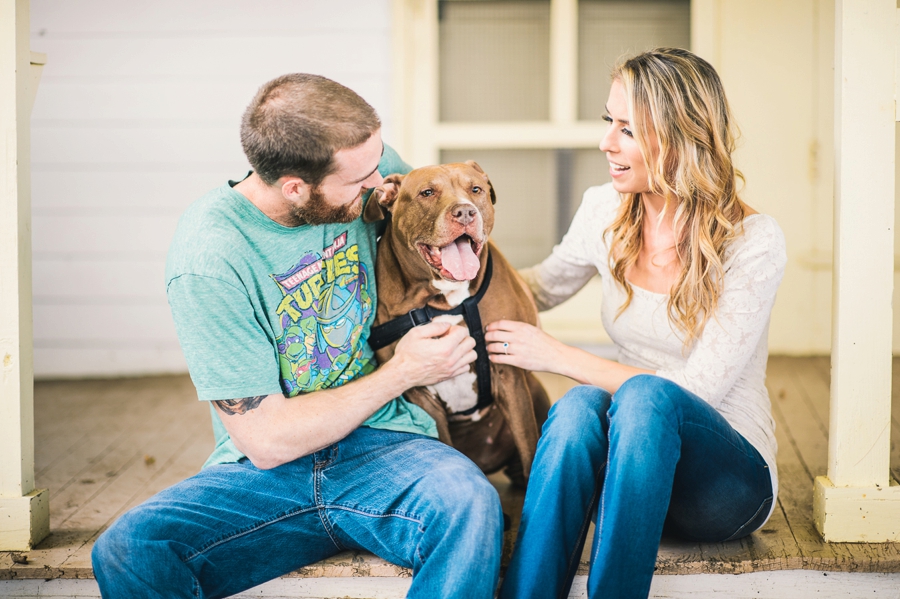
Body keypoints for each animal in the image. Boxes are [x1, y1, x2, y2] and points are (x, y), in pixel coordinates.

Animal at [364, 161, 548, 488]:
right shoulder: (420, 392)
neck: (444, 302)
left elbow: (529, 445)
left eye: (476, 189)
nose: (465, 212)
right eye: (427, 193)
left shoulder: (509, 374)